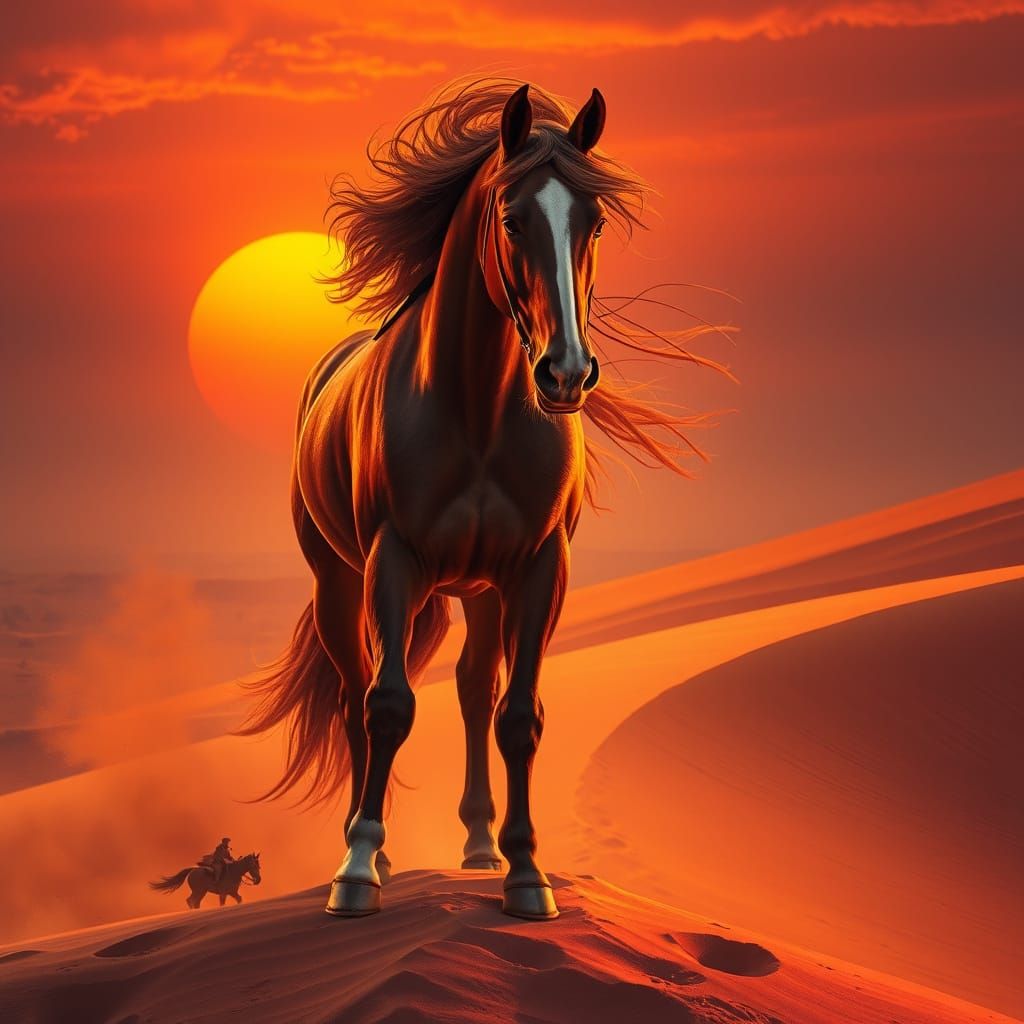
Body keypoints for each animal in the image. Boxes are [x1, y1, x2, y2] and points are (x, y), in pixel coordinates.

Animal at [239, 78, 727, 920]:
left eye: (594, 222)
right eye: (512, 218)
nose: (566, 374)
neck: (476, 413)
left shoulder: (538, 569)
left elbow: (518, 713)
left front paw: (527, 873)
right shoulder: (392, 561)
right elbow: (388, 704)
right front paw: (358, 869)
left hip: (480, 590)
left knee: (474, 686)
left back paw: (477, 844)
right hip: (340, 582)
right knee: (353, 696)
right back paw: (372, 847)